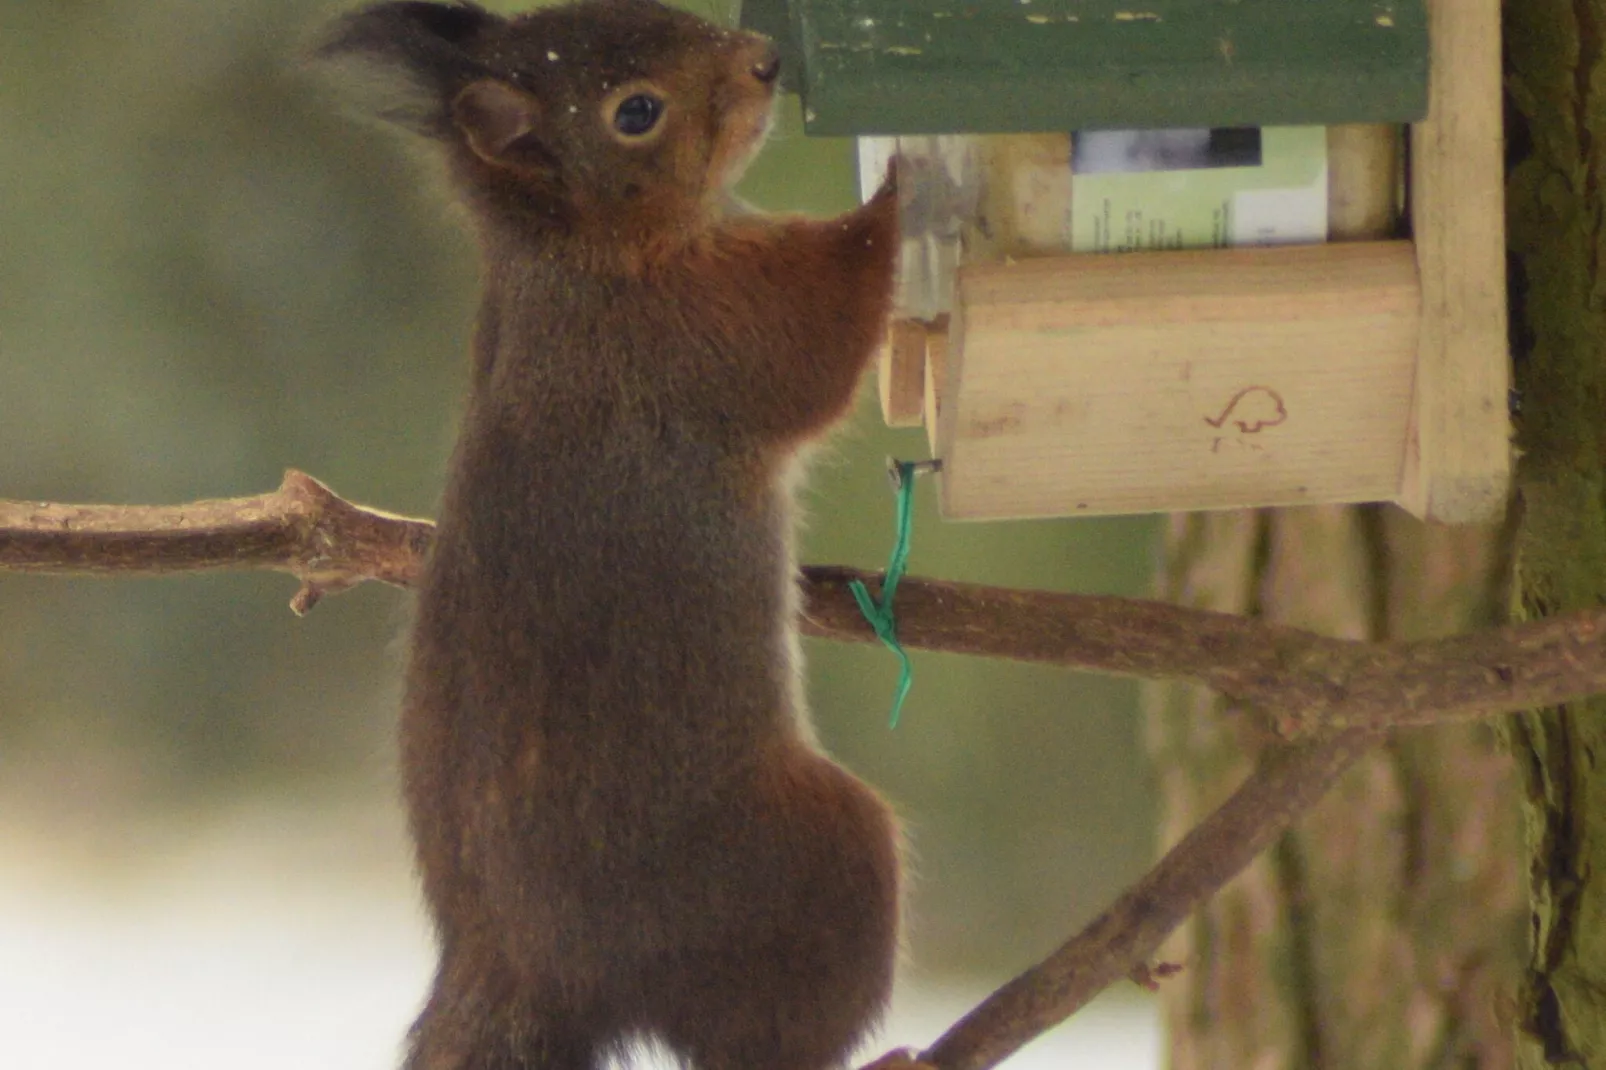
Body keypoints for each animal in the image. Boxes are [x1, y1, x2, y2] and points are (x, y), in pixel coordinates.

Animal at [313, 2, 905, 1066]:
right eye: (636, 113)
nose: (765, 61)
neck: (578, 260)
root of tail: (523, 972)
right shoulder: (697, 335)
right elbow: (819, 328)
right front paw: (901, 193)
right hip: (804, 865)